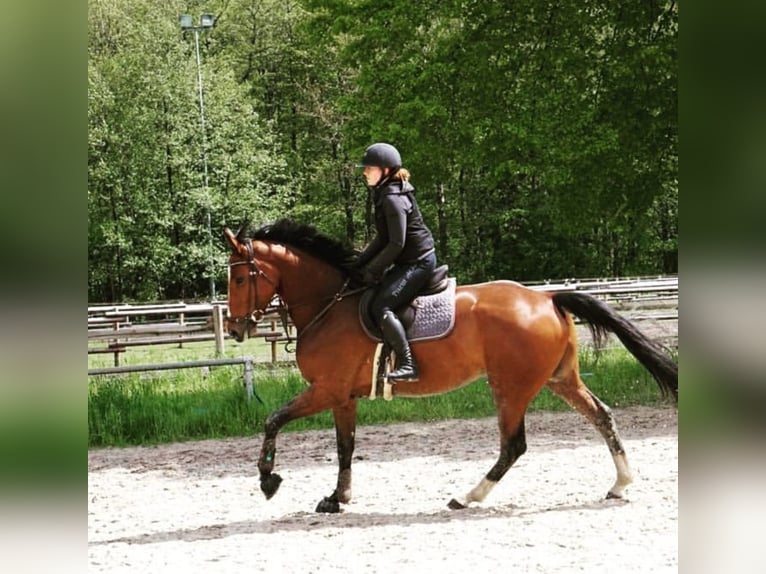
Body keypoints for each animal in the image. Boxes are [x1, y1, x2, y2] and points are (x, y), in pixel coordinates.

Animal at [223, 219, 677, 513]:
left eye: (240, 279)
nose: (234, 328)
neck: (328, 305)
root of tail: (547, 297)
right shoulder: (342, 397)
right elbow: (344, 447)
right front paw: (337, 499)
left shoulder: (326, 390)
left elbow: (273, 419)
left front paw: (268, 481)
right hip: (558, 379)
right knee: (602, 415)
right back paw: (620, 485)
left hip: (511, 386)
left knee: (513, 445)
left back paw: (467, 496)